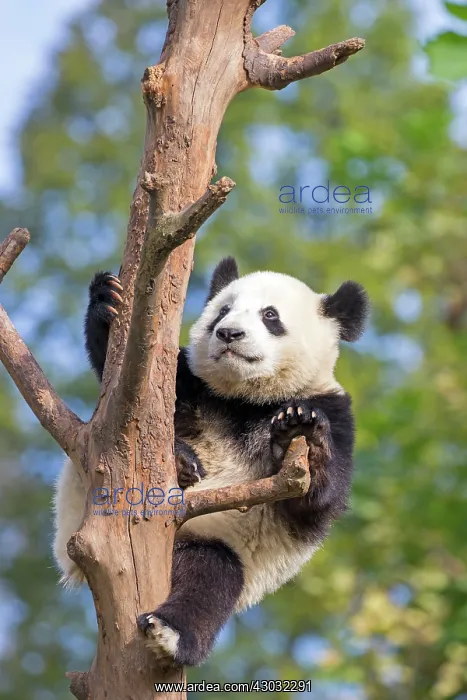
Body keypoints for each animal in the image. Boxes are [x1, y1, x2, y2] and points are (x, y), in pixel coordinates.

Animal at [53, 256, 369, 667]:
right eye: (222, 310)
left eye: (270, 316)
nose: (229, 333)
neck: (247, 398)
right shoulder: (192, 384)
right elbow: (131, 383)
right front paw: (109, 300)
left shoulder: (336, 412)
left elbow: (316, 502)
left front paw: (302, 428)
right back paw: (182, 462)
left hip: (214, 541)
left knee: (210, 577)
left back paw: (171, 631)